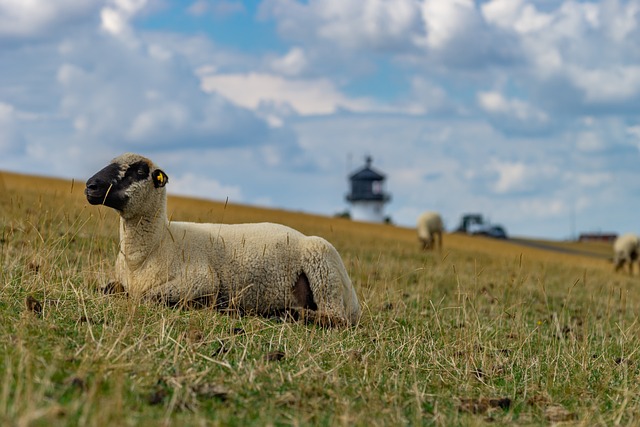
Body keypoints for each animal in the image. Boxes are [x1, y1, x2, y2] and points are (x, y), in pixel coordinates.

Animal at [85, 154, 360, 328]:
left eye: (140, 172)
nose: (91, 185)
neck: (154, 247)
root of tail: (354, 300)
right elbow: (108, 289)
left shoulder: (201, 280)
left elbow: (147, 297)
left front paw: (210, 306)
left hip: (324, 269)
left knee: (336, 318)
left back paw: (288, 314)